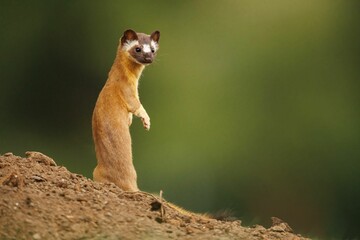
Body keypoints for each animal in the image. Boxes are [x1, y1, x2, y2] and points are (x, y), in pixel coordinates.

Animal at [92, 29, 160, 192]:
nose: (148, 58)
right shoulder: (127, 91)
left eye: (153, 49)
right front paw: (146, 121)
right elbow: (136, 106)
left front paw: (130, 121)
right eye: (138, 48)